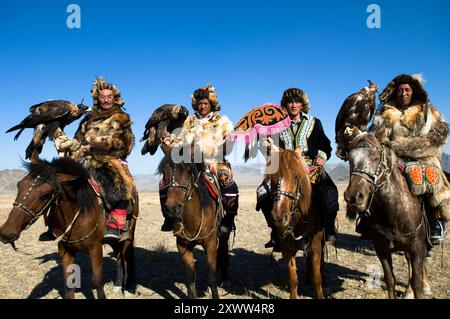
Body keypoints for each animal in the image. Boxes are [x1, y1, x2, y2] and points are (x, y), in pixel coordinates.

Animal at [0, 158, 139, 300]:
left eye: (45, 195)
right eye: (19, 186)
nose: (6, 233)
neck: (78, 214)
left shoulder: (95, 248)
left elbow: (98, 282)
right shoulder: (64, 248)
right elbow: (68, 283)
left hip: (128, 236)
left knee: (126, 258)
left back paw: (128, 288)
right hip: (114, 241)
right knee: (119, 257)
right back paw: (117, 285)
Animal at [158, 155, 229, 300]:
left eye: (188, 172)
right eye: (164, 172)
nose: (172, 208)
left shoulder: (210, 243)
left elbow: (211, 276)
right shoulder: (182, 245)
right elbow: (190, 277)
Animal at [258, 149, 326, 298]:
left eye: (296, 177)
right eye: (272, 178)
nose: (278, 217)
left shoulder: (315, 245)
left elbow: (317, 278)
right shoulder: (287, 247)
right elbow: (293, 279)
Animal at [344, 129, 428, 298]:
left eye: (376, 157)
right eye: (350, 159)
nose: (353, 197)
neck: (394, 213)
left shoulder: (417, 247)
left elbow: (418, 284)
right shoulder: (381, 248)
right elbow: (390, 279)